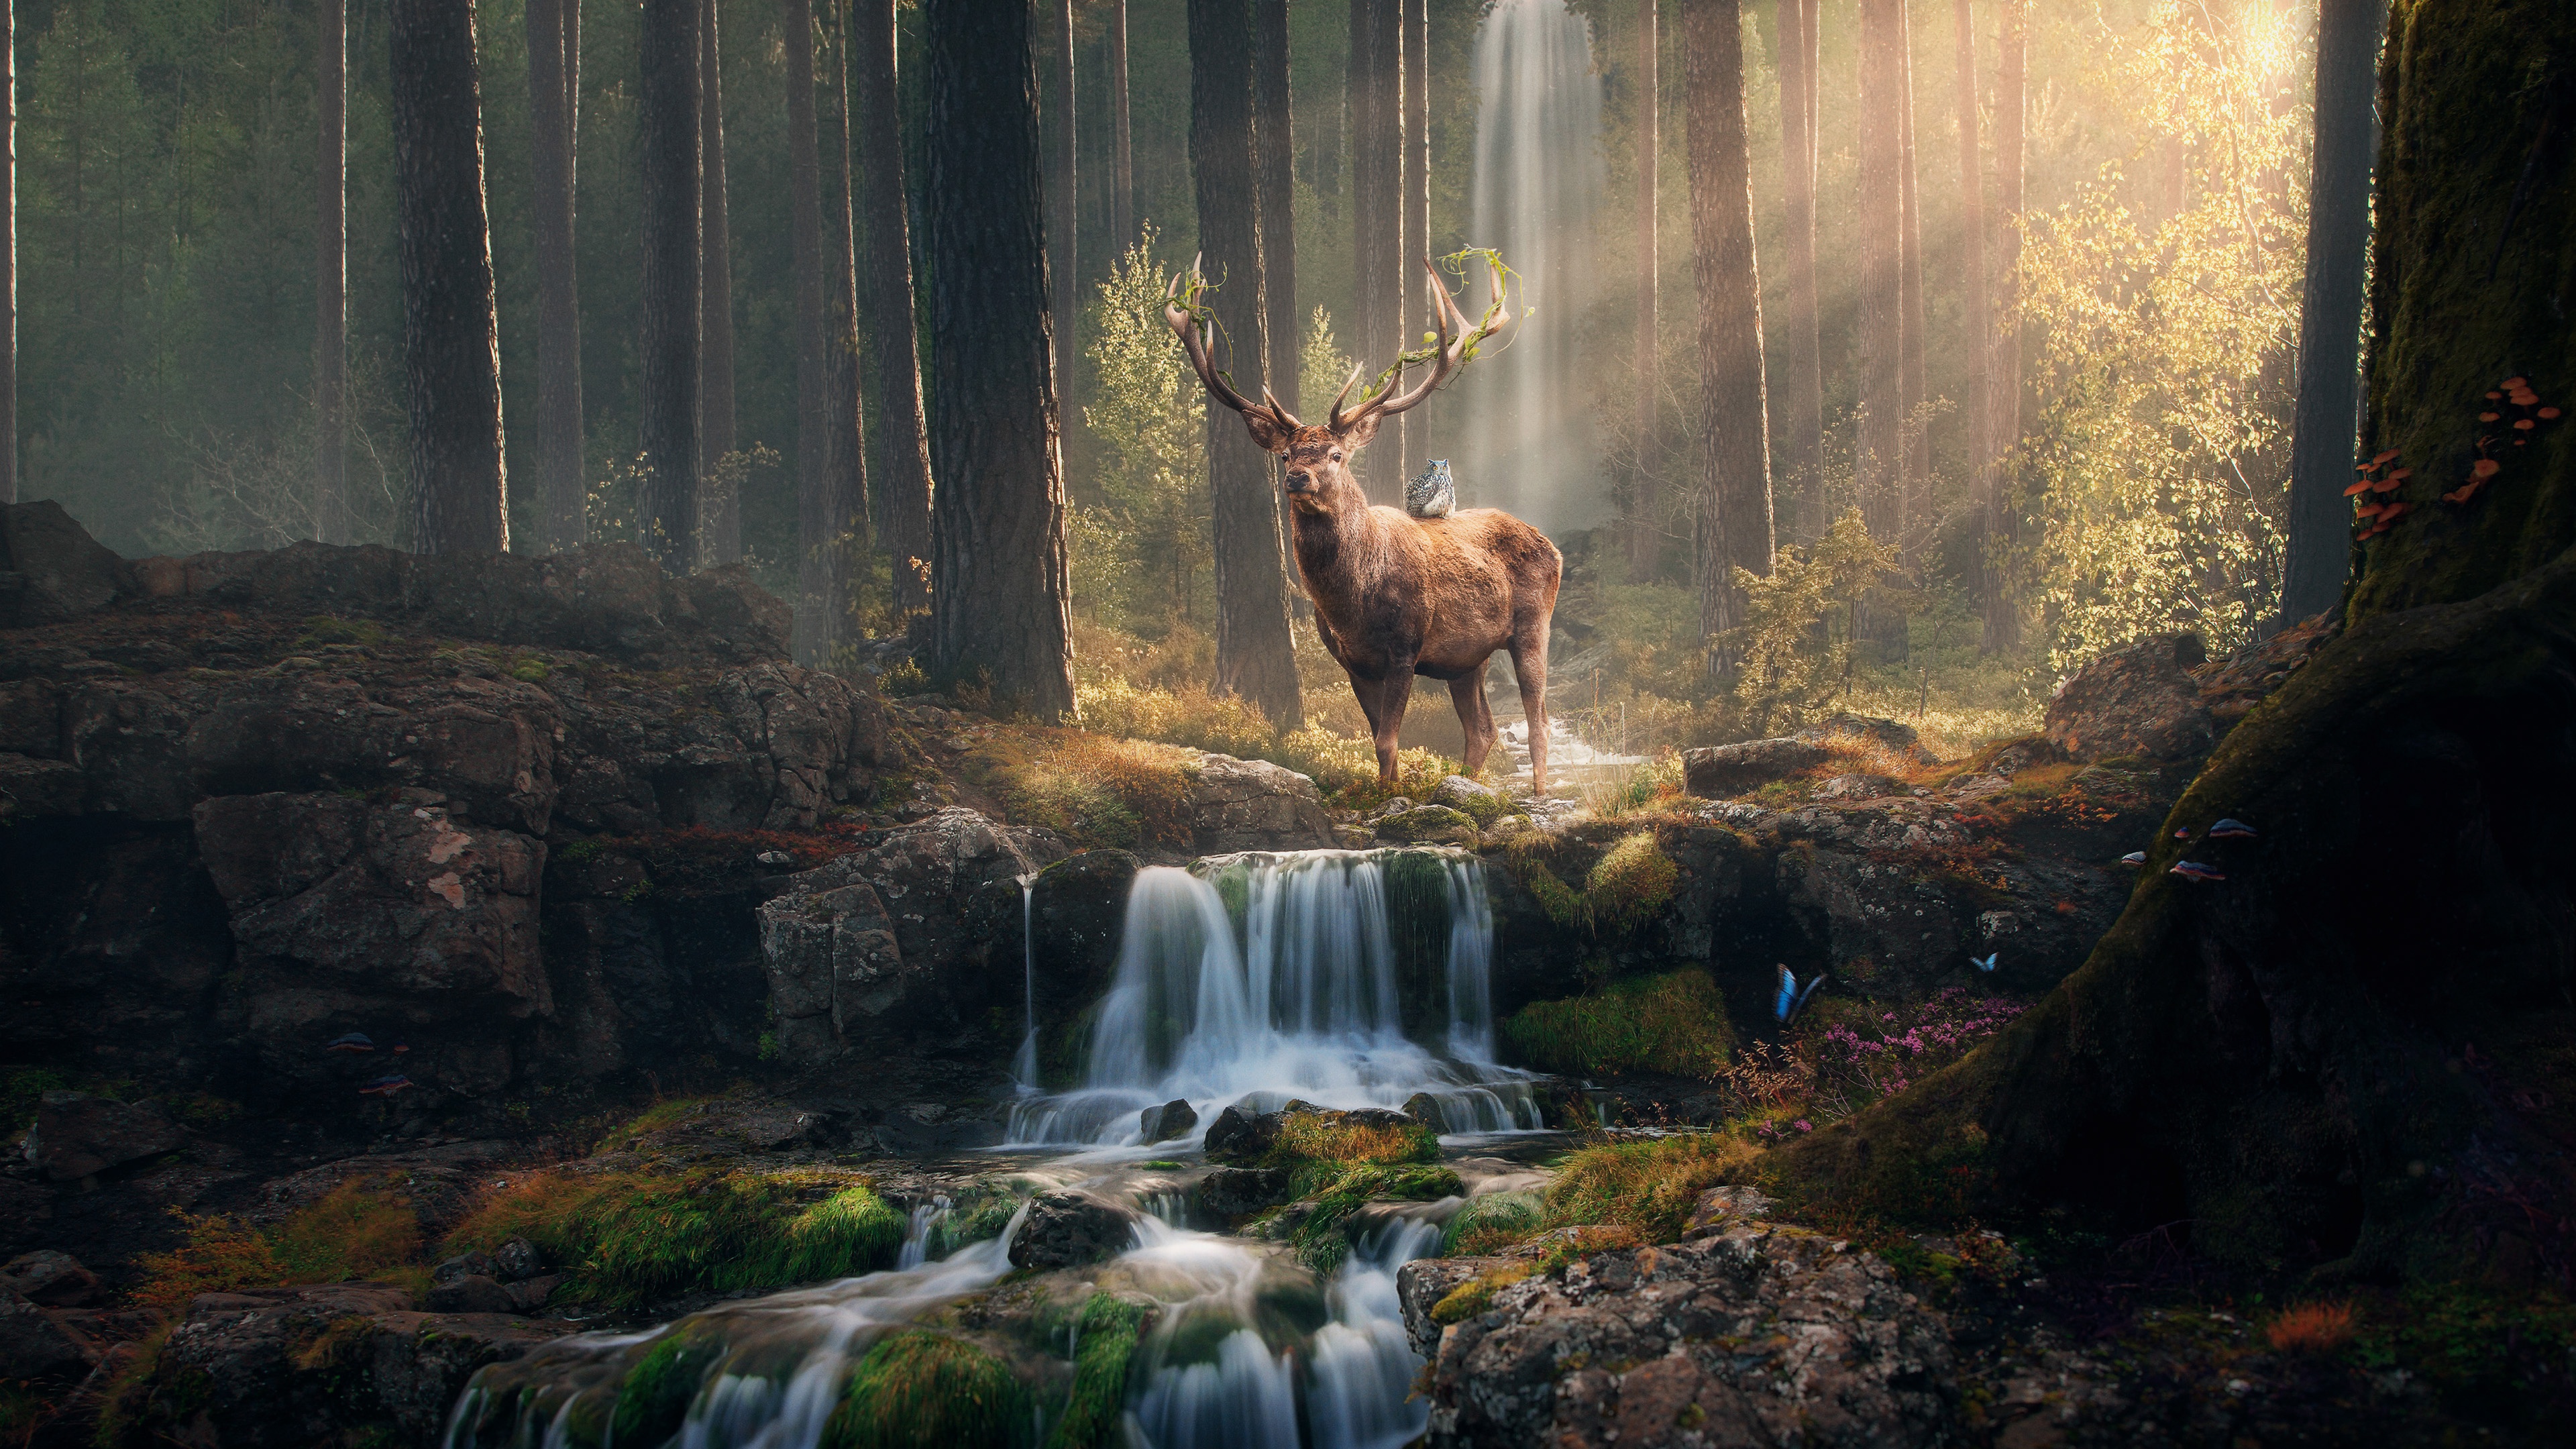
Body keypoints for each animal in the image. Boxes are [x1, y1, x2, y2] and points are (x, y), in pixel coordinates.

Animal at [1165, 254, 1563, 795]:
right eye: (1285, 453)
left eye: (1336, 454)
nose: (1297, 477)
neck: (1352, 603)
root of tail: (1553, 546)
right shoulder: (1351, 660)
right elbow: (1378, 741)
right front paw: (1387, 790)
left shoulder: (1405, 645)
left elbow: (1389, 740)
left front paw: (1390, 796)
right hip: (1466, 658)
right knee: (1483, 728)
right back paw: (1464, 783)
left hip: (1533, 624)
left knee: (1538, 719)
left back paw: (1539, 793)